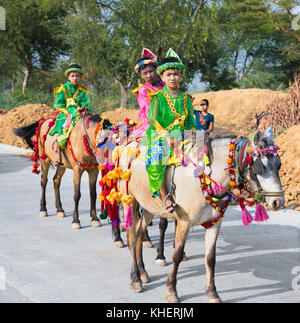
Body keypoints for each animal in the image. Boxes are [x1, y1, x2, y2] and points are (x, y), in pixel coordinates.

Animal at [112, 128, 284, 304]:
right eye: (261, 166)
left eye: (278, 164)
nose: (278, 201)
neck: (204, 177)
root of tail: (128, 146)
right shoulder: (183, 223)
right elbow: (177, 255)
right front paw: (171, 291)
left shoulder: (215, 224)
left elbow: (210, 258)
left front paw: (212, 293)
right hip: (129, 200)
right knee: (132, 237)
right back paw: (135, 279)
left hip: (150, 207)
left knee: (140, 232)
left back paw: (142, 272)